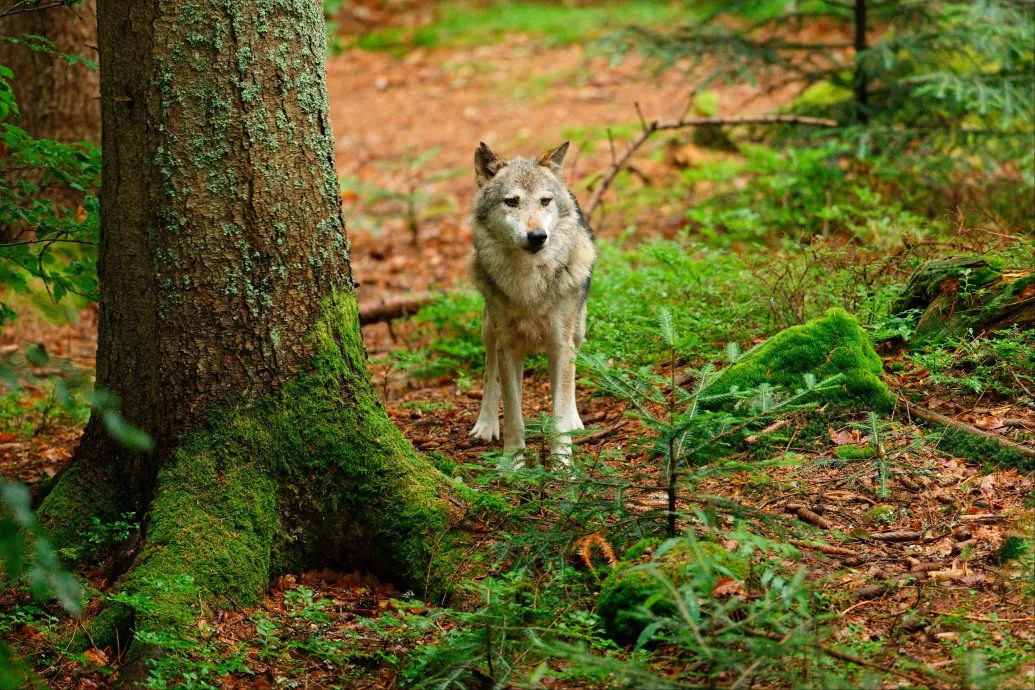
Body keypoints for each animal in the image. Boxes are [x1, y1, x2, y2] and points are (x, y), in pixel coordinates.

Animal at [465, 141, 596, 463]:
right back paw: (486, 424)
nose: (537, 236)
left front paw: (563, 464)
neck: (529, 283)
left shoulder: (561, 343)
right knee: (490, 375)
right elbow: (513, 413)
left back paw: (574, 419)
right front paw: (512, 462)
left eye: (545, 201)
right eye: (512, 202)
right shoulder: (507, 345)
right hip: (489, 330)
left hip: (578, 329)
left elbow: (559, 410)